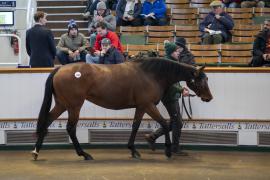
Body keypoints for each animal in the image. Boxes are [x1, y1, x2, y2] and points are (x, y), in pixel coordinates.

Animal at [31, 57, 213, 160]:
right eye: (201, 80)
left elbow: (135, 126)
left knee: (47, 121)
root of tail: (60, 69)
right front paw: (167, 150)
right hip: (74, 106)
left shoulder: (141, 106)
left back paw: (36, 152)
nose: (209, 98)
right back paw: (84, 154)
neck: (150, 74)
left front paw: (133, 150)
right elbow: (163, 123)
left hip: (62, 104)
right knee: (70, 128)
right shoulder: (148, 105)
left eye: (207, 79)